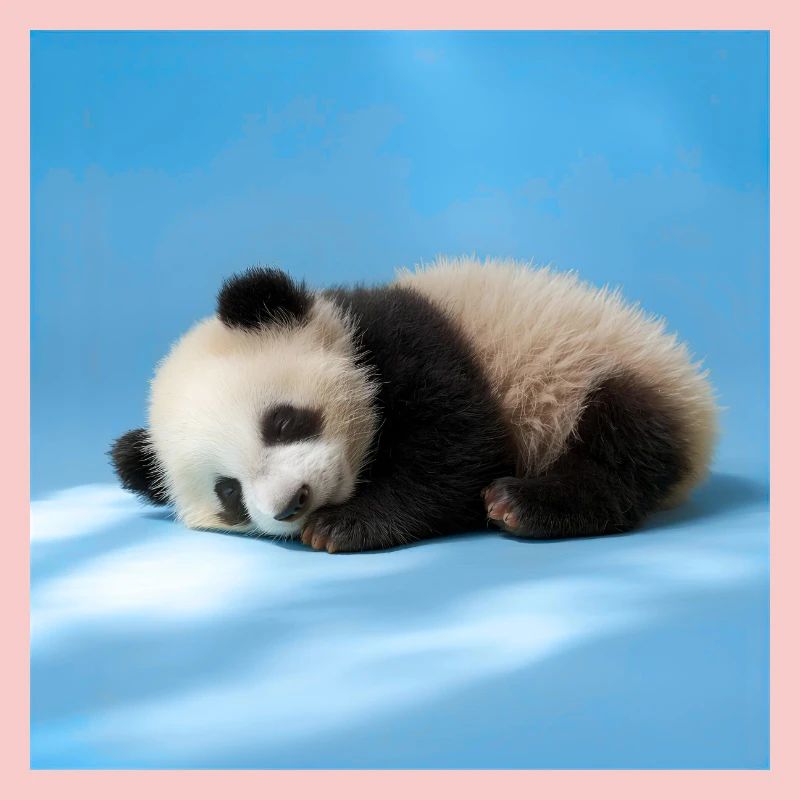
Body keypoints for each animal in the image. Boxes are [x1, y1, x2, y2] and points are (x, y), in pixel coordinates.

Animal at [111, 256, 717, 553]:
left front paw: (343, 526)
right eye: (228, 493)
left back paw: (525, 503)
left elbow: (458, 446)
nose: (292, 504)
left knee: (622, 444)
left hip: (600, 369)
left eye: (282, 422)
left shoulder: (413, 341)